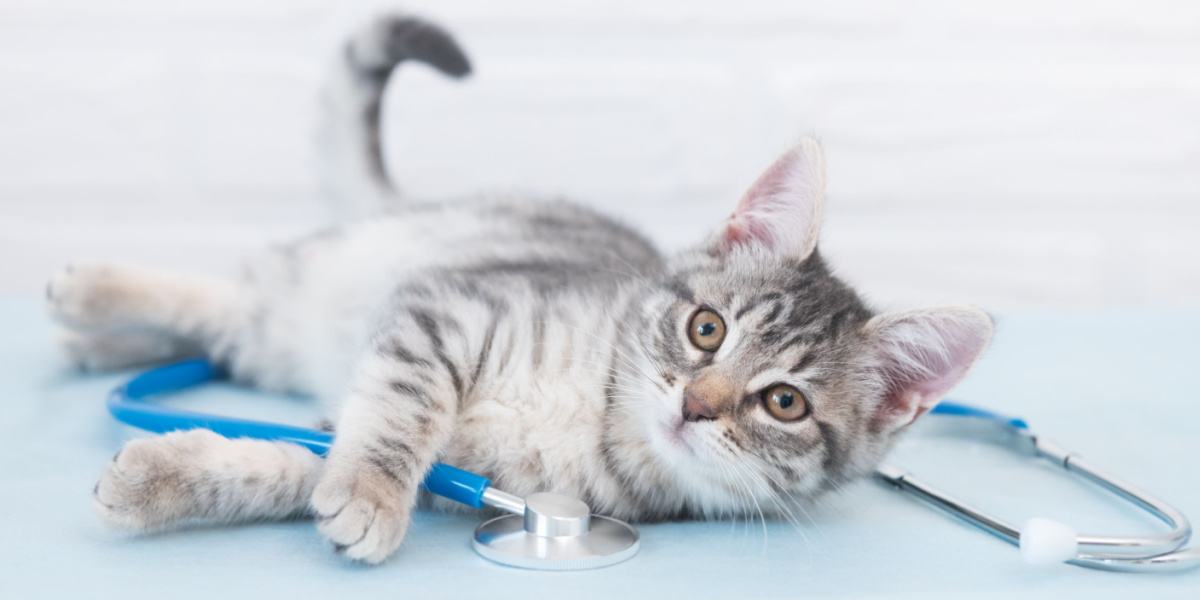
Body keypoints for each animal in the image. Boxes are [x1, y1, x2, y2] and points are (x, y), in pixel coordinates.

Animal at [49, 15, 993, 566]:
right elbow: (397, 412)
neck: (595, 414)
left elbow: (295, 461)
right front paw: (369, 490)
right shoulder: (446, 308)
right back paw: (89, 296)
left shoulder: (467, 466)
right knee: (228, 297)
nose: (694, 404)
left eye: (785, 403)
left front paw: (171, 477)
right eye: (707, 329)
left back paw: (95, 339)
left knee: (229, 327)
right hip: (337, 281)